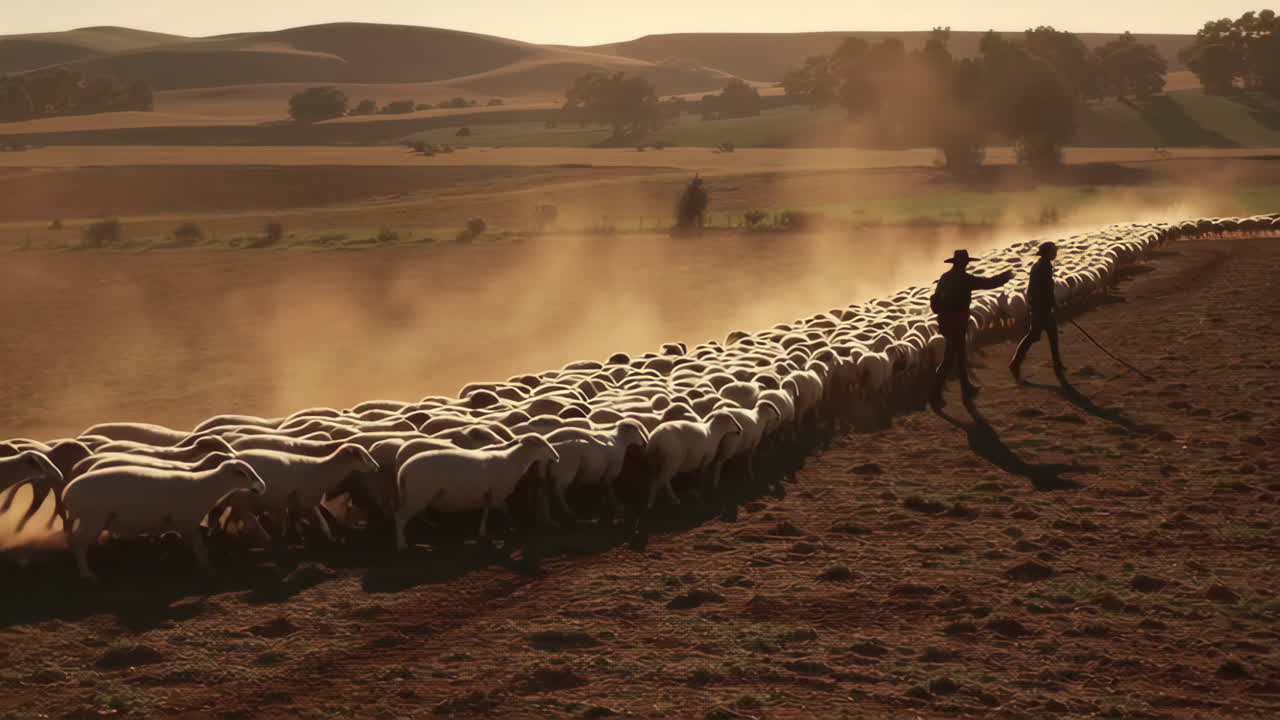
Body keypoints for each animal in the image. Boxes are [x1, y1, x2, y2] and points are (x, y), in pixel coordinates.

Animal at [61, 459, 266, 580]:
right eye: (242, 473)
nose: (262, 486)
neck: (206, 486)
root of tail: (67, 493)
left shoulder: (185, 523)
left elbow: (191, 546)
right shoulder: (186, 521)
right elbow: (199, 547)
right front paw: (207, 568)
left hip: (92, 519)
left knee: (78, 542)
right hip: (92, 518)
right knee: (78, 544)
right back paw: (87, 574)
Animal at [394, 435, 560, 549]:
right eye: (542, 444)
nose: (557, 457)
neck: (512, 461)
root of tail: (404, 470)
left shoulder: (489, 493)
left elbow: (487, 511)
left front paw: (482, 531)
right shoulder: (498, 493)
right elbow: (503, 509)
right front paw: (511, 526)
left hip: (419, 495)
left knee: (414, 514)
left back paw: (429, 527)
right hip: (418, 495)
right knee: (400, 517)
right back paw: (402, 543)